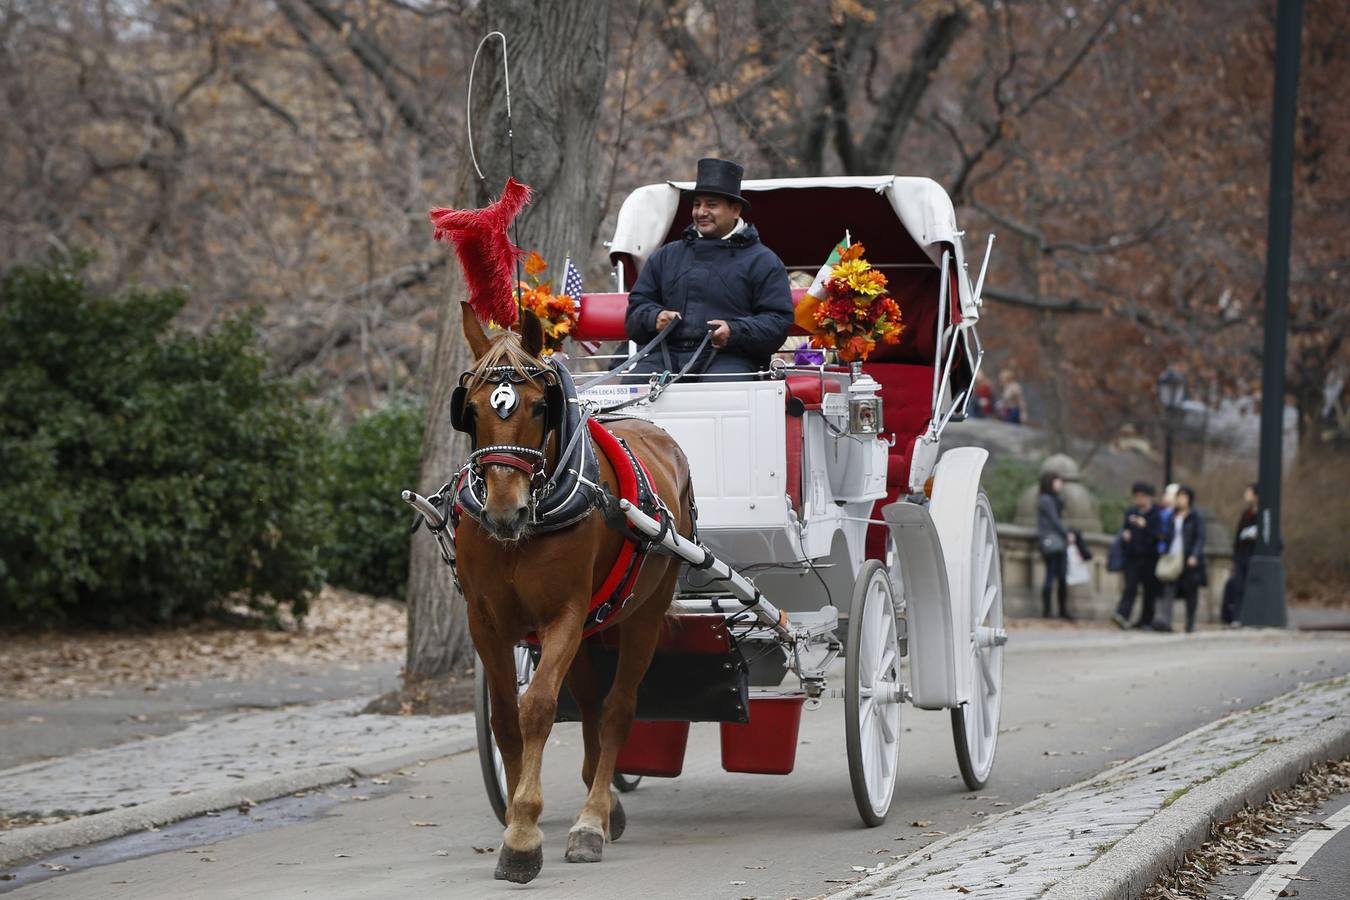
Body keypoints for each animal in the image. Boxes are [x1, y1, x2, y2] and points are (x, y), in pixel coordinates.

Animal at [456, 306, 696, 885]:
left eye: (540, 406)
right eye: (469, 410)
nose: (504, 512)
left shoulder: (562, 614)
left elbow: (539, 707)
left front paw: (522, 834)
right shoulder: (486, 622)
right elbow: (505, 718)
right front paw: (515, 819)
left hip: (643, 614)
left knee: (616, 708)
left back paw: (591, 819)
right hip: (591, 627)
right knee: (588, 702)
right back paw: (604, 801)